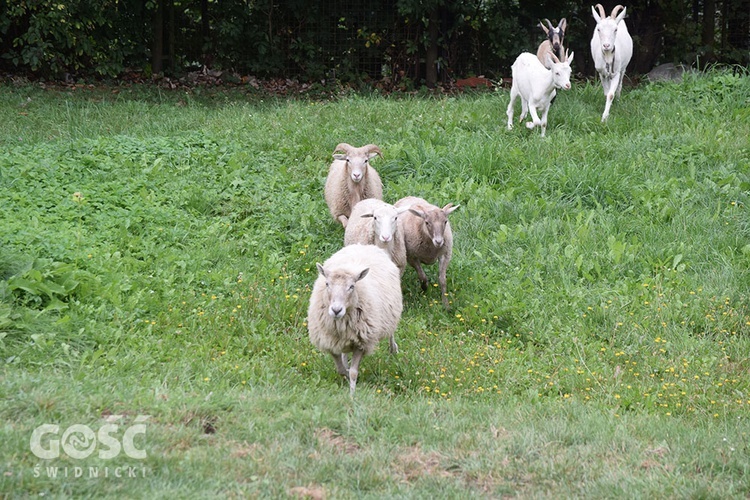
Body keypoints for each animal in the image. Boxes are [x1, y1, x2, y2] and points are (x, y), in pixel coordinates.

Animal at [306, 244, 406, 396]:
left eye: (352, 286)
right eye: (327, 284)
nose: (336, 310)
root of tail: (364, 245)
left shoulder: (362, 342)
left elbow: (353, 372)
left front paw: (352, 395)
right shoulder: (330, 343)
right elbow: (341, 370)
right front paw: (346, 377)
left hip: (391, 313)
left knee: (391, 332)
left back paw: (393, 349)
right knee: (344, 354)